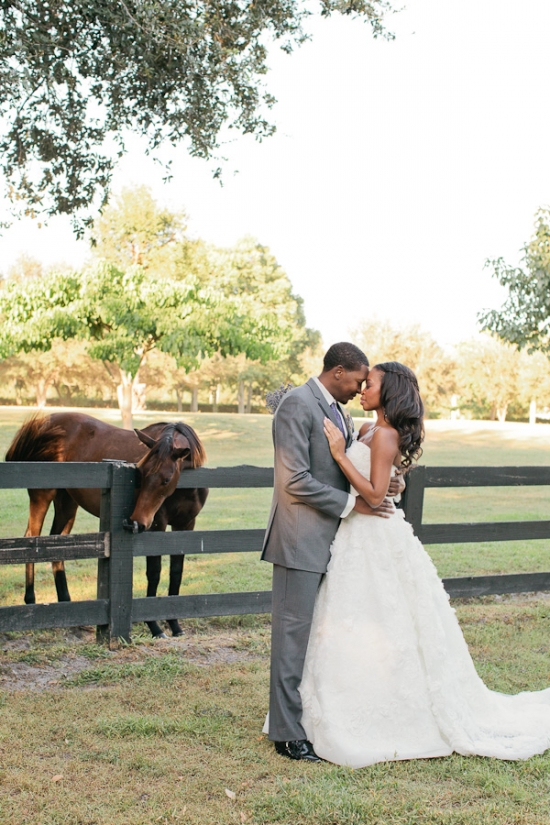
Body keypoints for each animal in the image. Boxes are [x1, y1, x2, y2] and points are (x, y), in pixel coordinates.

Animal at [4, 412, 209, 636]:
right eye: (140, 472)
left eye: (166, 479)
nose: (137, 521)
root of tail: (45, 422)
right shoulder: (158, 525)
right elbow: (154, 572)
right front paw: (154, 627)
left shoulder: (186, 525)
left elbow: (176, 572)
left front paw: (175, 625)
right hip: (42, 495)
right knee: (31, 539)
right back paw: (31, 601)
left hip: (67, 502)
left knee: (57, 545)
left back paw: (67, 605)